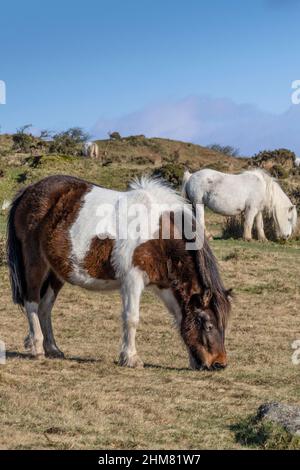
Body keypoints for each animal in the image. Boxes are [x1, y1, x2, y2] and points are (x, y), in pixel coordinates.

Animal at [7, 174, 232, 370]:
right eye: (208, 325)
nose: (219, 364)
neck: (159, 234)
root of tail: (29, 190)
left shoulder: (164, 286)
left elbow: (179, 318)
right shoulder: (133, 280)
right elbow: (131, 318)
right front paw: (130, 358)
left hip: (56, 273)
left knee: (45, 307)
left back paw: (53, 348)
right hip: (36, 264)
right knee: (32, 302)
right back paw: (37, 347)